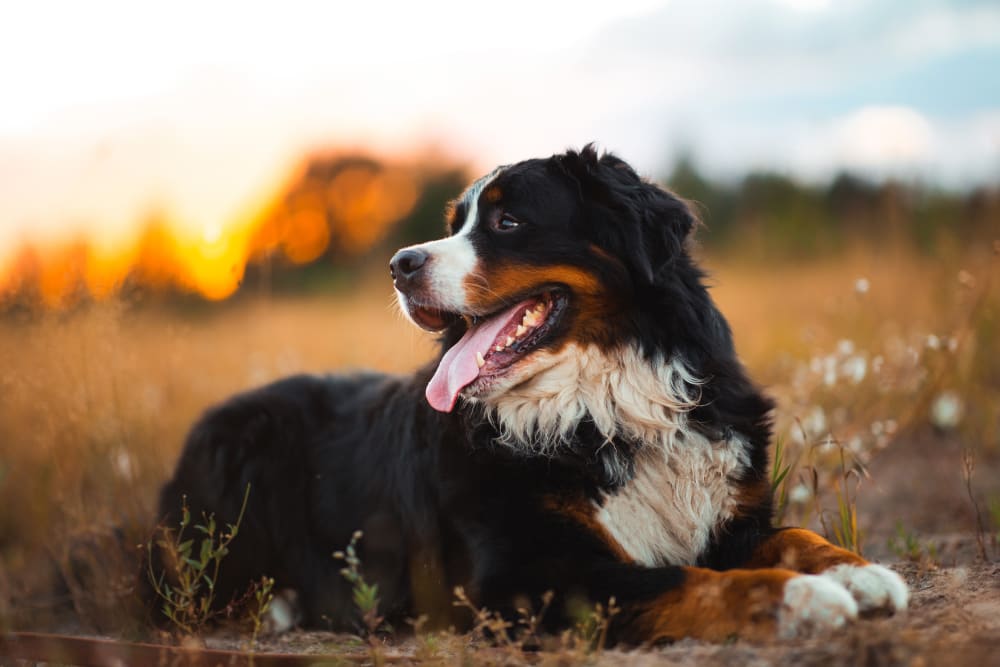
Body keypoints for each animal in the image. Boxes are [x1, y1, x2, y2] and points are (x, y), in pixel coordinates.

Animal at [154, 145, 908, 640]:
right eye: (456, 223)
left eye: (507, 222)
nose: (400, 265)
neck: (604, 405)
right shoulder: (526, 573)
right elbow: (690, 580)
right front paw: (800, 599)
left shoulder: (729, 514)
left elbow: (797, 534)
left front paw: (861, 573)